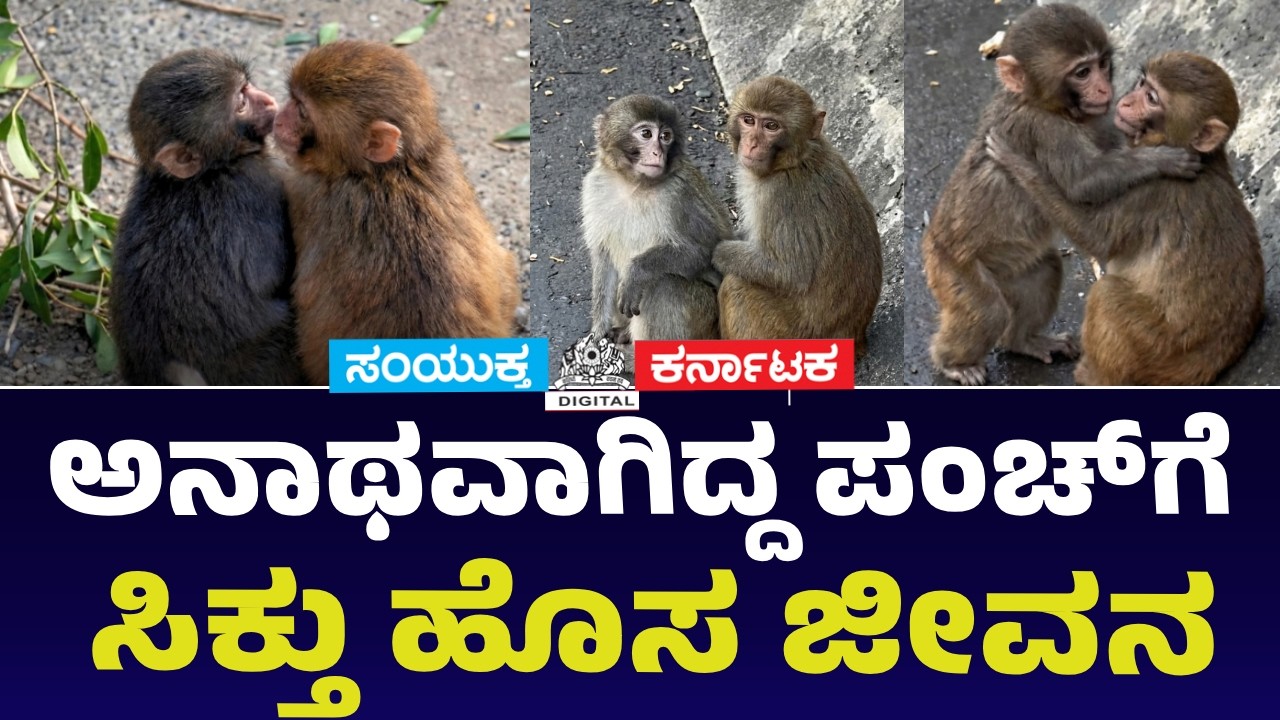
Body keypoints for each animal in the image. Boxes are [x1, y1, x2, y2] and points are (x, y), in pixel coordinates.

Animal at [581, 95, 731, 343]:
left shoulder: (677, 197)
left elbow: (705, 252)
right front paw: (598, 331)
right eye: (646, 134)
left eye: (665, 136)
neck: (634, 186)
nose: (657, 153)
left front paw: (637, 272)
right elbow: (603, 258)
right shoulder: (595, 187)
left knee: (664, 283)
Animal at [714, 76, 882, 352]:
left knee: (736, 286)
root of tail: (855, 337)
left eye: (771, 126)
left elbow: (789, 273)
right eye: (748, 120)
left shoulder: (781, 196)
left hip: (791, 335)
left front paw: (717, 251)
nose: (752, 144)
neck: (792, 162)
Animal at [920, 3, 1202, 386]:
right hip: (952, 268)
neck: (1042, 104)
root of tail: (931, 244)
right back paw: (954, 363)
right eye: (1082, 72)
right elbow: (1085, 182)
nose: (1104, 88)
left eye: (1102, 64)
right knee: (988, 309)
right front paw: (1164, 159)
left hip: (1009, 269)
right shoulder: (1044, 130)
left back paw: (1023, 340)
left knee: (1044, 270)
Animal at [985, 52, 1264, 385]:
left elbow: (1097, 239)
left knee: (1107, 294)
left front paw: (1020, 163)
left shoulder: (1153, 194)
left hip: (1153, 351)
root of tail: (1204, 367)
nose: (1127, 100)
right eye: (1143, 84)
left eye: (1152, 99)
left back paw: (1092, 375)